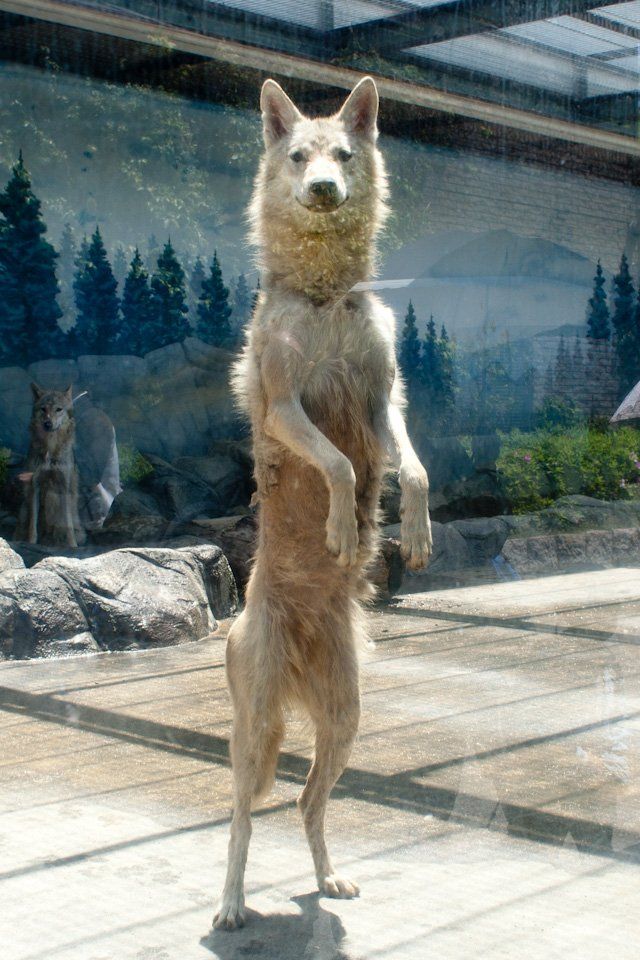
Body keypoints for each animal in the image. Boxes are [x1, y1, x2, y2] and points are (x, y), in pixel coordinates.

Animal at [15, 382, 85, 548]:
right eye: (43, 409)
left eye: (58, 409)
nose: (48, 423)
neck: (50, 448)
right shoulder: (35, 486)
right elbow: (33, 524)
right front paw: (31, 543)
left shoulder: (63, 488)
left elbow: (68, 524)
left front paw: (72, 546)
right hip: (24, 510)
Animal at [216, 75, 436, 928]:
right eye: (299, 156)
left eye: (342, 155)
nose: (321, 190)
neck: (326, 299)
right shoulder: (287, 407)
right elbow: (341, 467)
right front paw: (345, 530)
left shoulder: (383, 401)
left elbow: (412, 470)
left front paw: (415, 533)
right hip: (258, 736)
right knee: (242, 818)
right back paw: (231, 906)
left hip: (344, 724)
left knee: (310, 805)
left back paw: (327, 881)